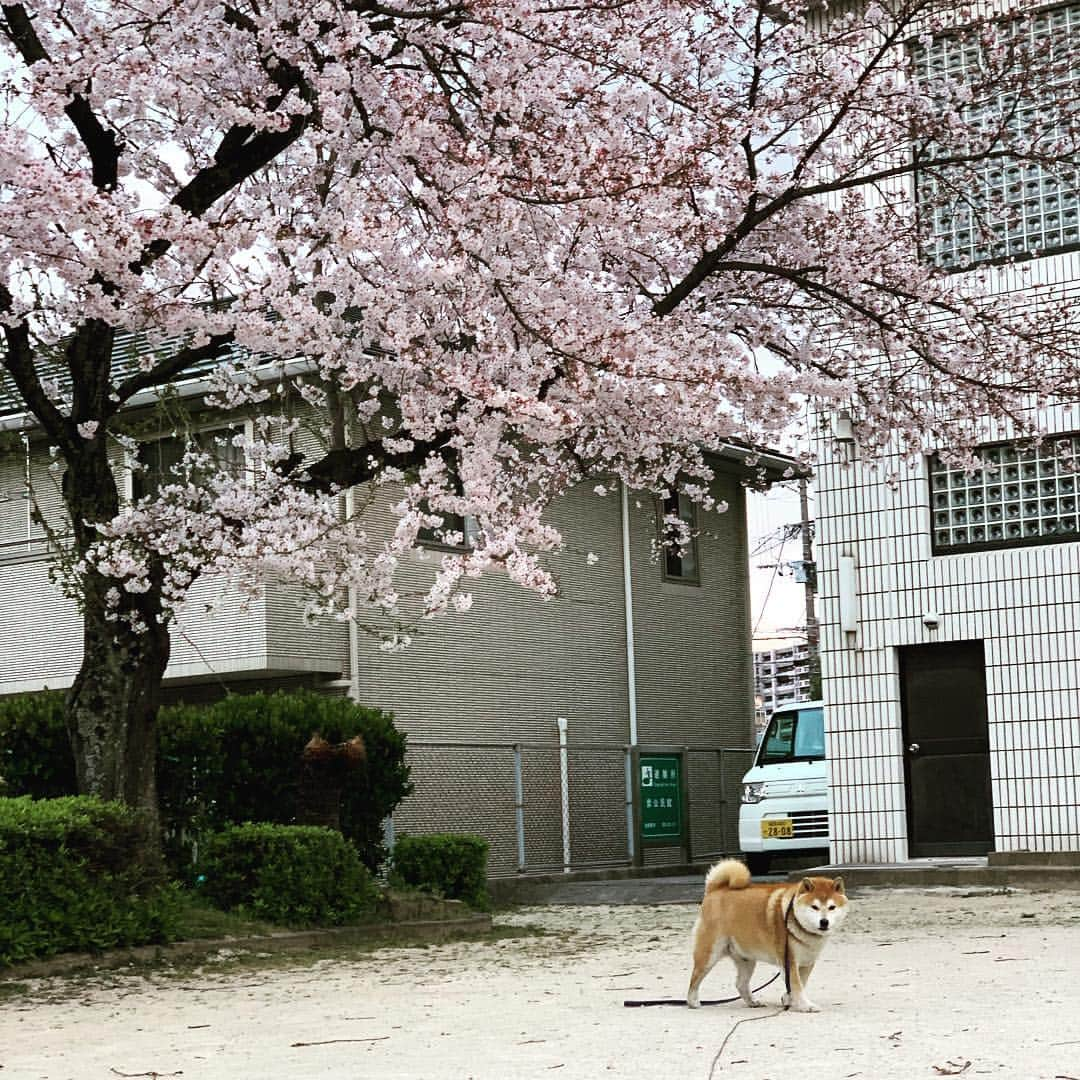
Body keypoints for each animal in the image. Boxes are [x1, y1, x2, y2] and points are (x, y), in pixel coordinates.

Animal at [686, 859, 846, 1010]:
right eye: (814, 907)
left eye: (832, 907)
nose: (824, 922)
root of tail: (714, 889)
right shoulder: (789, 961)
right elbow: (797, 986)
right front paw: (806, 1006)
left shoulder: (807, 962)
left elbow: (801, 983)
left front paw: (788, 999)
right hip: (709, 955)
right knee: (694, 979)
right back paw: (693, 1002)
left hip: (746, 960)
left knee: (740, 984)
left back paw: (752, 1002)